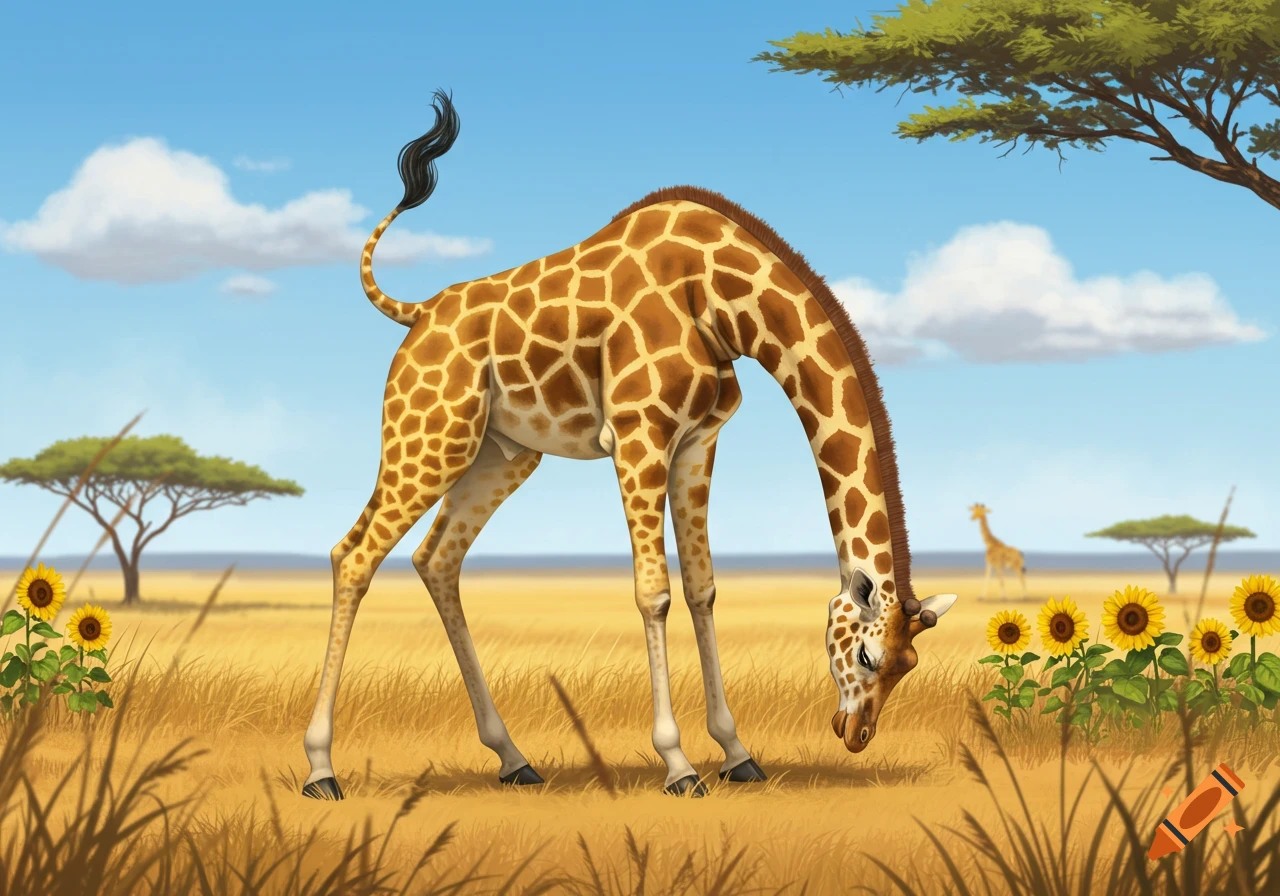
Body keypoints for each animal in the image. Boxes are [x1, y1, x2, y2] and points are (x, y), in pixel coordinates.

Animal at [301, 90, 959, 800]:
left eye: (909, 663)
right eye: (866, 653)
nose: (856, 734)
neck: (722, 300)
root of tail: (416, 313)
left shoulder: (698, 440)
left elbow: (702, 588)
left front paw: (736, 753)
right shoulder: (640, 435)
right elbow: (654, 591)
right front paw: (678, 765)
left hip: (500, 453)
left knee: (436, 558)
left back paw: (513, 757)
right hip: (430, 432)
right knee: (353, 554)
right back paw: (320, 769)